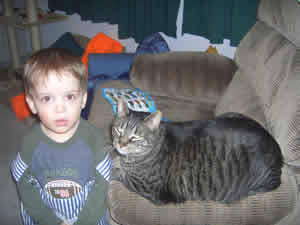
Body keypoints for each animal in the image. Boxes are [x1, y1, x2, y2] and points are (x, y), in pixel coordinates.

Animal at [110, 99, 284, 205]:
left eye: (135, 137)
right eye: (119, 130)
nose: (120, 144)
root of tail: (280, 156)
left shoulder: (150, 190)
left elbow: (119, 175)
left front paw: (114, 166)